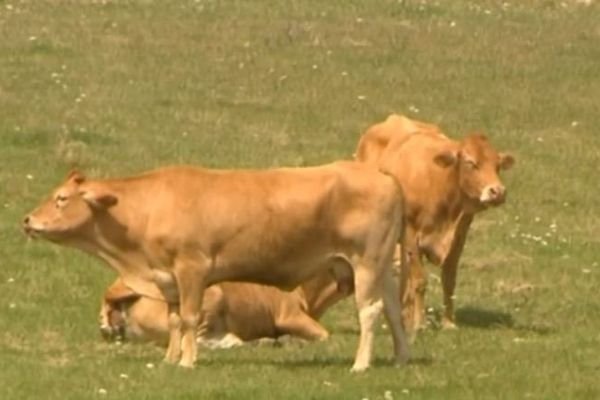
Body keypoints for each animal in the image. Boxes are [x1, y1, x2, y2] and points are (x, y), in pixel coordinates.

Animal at [356, 114, 516, 336]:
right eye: (470, 163)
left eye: (497, 165)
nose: (497, 192)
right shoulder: (411, 234)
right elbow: (420, 281)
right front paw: (420, 323)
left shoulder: (459, 235)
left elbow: (449, 279)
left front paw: (448, 322)